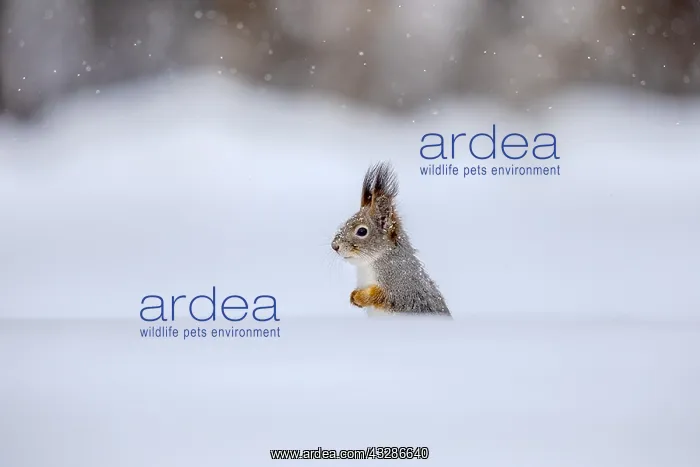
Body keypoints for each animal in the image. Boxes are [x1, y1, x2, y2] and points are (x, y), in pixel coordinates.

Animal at [331, 162, 451, 317]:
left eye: (362, 231)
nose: (334, 246)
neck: (368, 266)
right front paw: (353, 295)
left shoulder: (403, 287)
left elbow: (386, 296)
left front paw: (361, 296)